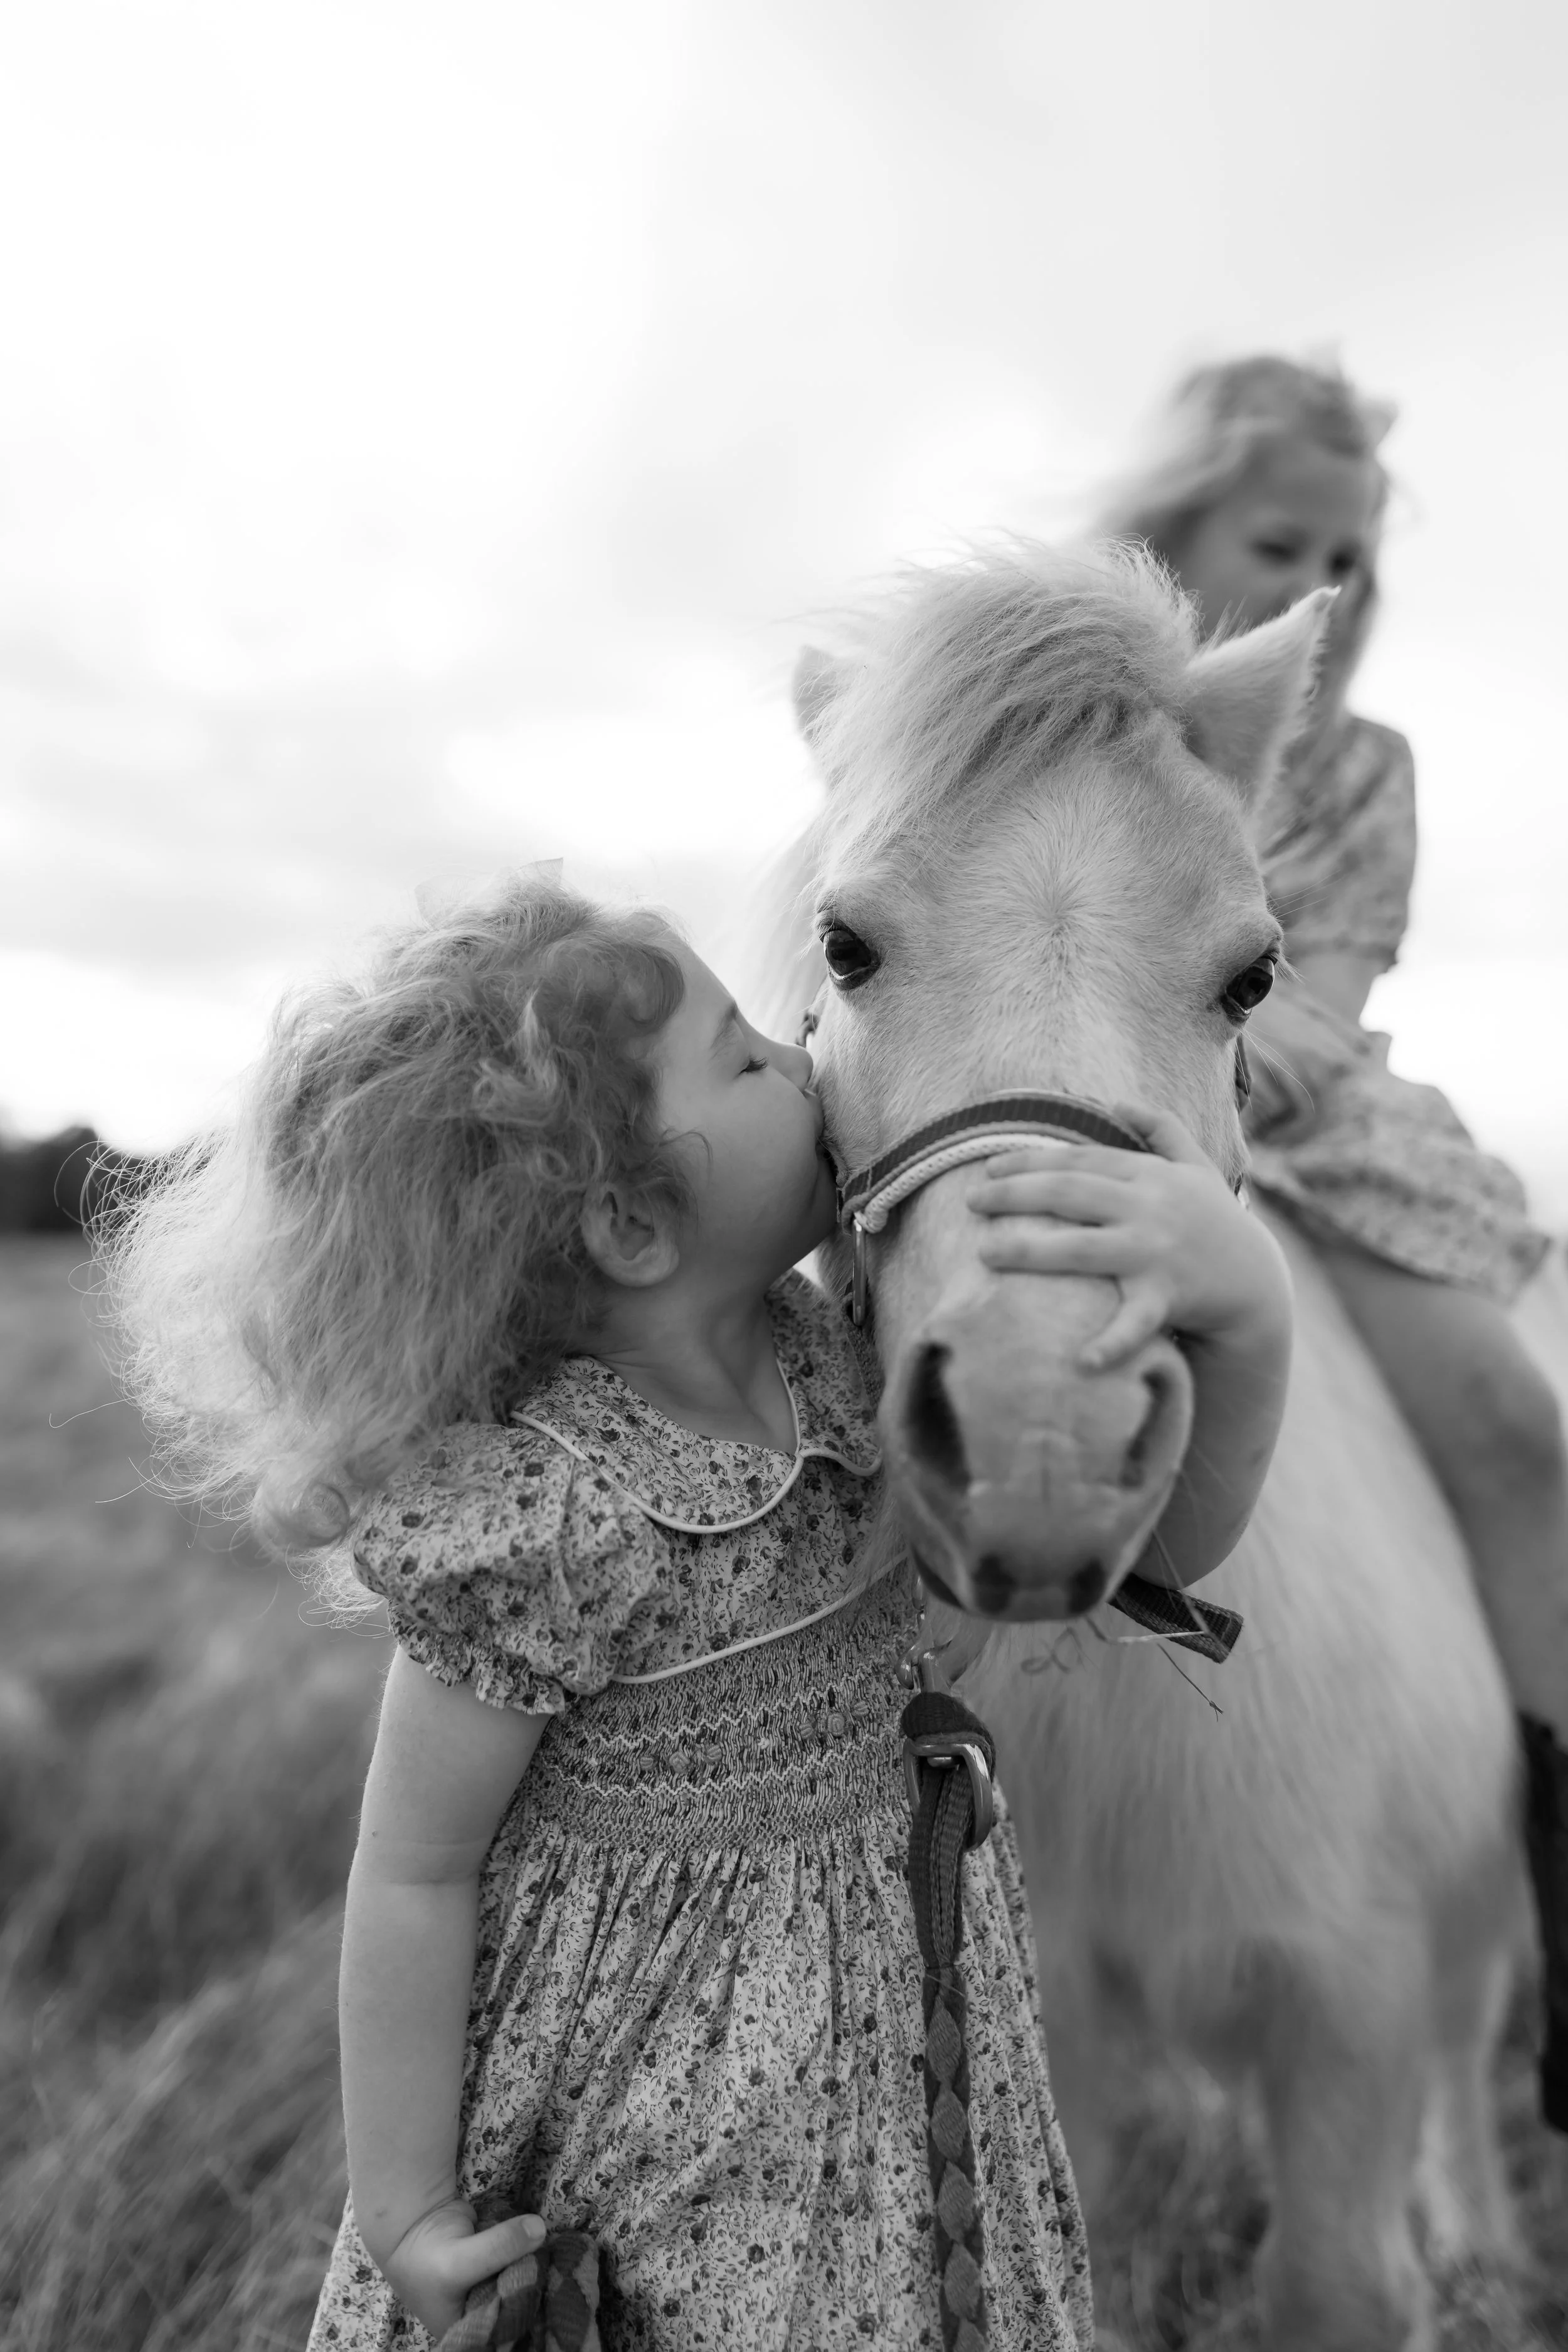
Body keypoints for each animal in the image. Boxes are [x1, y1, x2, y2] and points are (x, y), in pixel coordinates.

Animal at [743, 542, 1547, 2350]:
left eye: (1251, 973)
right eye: (844, 942)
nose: (1041, 1441)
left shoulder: (1349, 2010)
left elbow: (1338, 2275)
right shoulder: (1058, 2047)